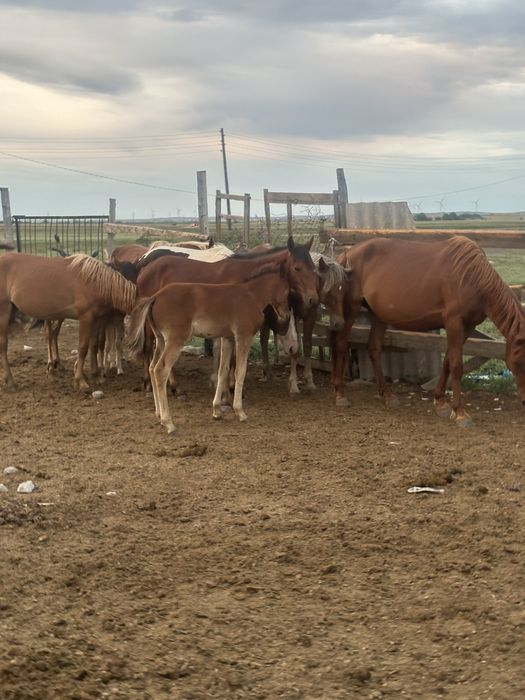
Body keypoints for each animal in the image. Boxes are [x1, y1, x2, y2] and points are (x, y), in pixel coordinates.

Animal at [0, 252, 136, 390]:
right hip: (4, 312)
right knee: (4, 345)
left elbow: (94, 345)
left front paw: (96, 376)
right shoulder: (86, 318)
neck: (95, 281)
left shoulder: (97, 320)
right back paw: (11, 382)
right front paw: (80, 380)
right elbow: (83, 348)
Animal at [126, 261, 291, 434]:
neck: (250, 296)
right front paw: (240, 411)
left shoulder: (228, 339)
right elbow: (240, 372)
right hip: (175, 340)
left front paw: (217, 410)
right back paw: (168, 422)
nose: (286, 315)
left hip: (160, 340)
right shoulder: (243, 336)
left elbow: (223, 371)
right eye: (287, 290)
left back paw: (159, 416)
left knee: (152, 368)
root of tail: (156, 296)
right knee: (160, 370)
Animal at [260, 253, 351, 395]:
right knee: (263, 340)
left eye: (344, 290)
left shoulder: (310, 317)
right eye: (329, 291)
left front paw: (309, 382)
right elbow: (295, 349)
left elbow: (307, 345)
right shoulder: (293, 316)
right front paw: (293, 385)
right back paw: (267, 372)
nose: (340, 323)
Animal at [332, 236, 525, 426]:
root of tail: (346, 254)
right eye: (520, 361)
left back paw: (387, 395)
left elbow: (447, 361)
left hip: (379, 315)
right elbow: (456, 365)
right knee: (340, 344)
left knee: (373, 348)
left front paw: (440, 402)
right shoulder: (454, 323)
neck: (471, 277)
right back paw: (340, 394)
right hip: (351, 309)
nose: (524, 402)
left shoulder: (468, 327)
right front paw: (460, 413)